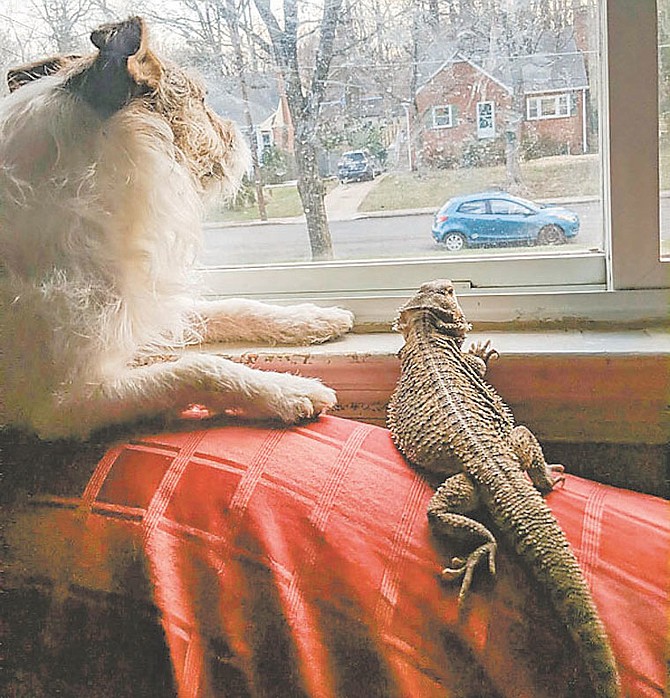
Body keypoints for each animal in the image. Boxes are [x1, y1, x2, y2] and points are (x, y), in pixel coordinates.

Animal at [0, 17, 356, 440]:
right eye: (201, 99)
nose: (242, 135)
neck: (77, 189)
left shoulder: (138, 311)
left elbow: (230, 307)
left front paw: (309, 317)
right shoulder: (67, 402)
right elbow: (198, 368)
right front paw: (285, 389)